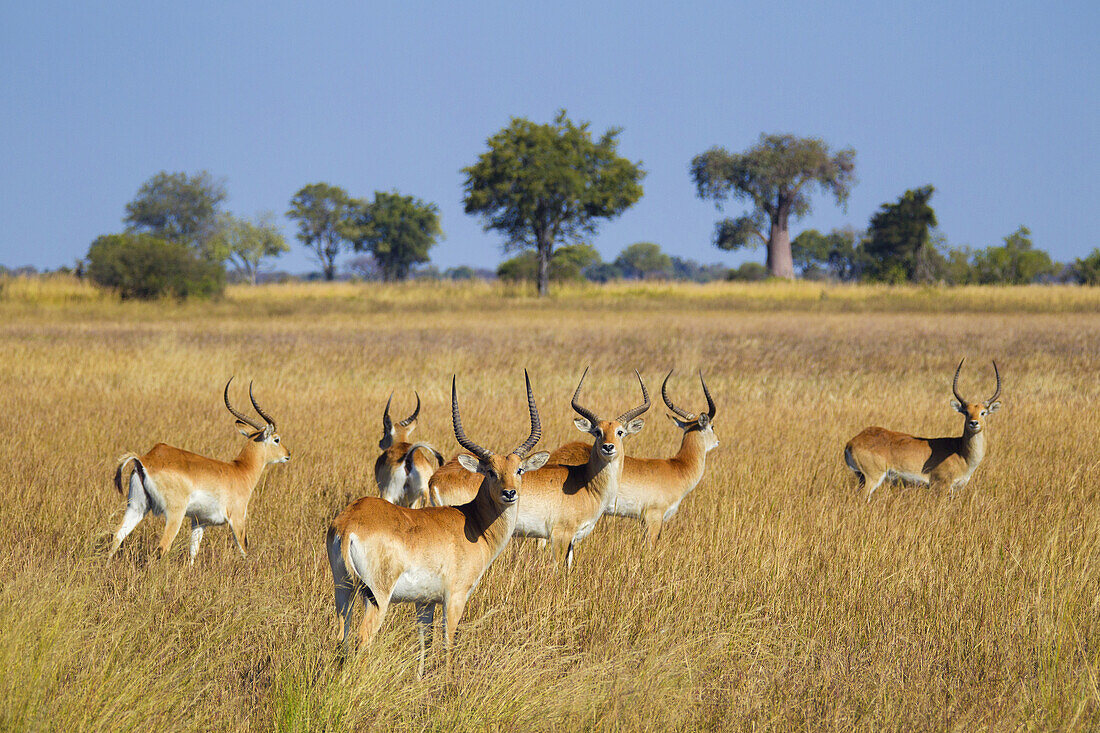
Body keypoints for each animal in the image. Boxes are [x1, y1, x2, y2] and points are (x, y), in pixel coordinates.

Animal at [103, 378, 288, 561]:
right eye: (276, 439)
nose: (288, 454)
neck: (240, 470)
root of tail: (145, 459)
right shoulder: (237, 518)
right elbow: (244, 550)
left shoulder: (199, 521)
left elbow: (193, 552)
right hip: (174, 513)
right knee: (162, 547)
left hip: (137, 506)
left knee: (118, 535)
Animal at [325, 372, 550, 673]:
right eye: (491, 471)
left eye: (519, 469)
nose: (510, 493)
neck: (472, 523)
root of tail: (349, 523)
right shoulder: (454, 598)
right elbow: (447, 644)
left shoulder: (424, 602)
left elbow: (425, 644)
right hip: (377, 597)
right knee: (362, 641)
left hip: (343, 590)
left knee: (341, 638)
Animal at [431, 367, 651, 567]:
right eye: (597, 431)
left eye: (620, 432)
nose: (608, 447)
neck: (585, 483)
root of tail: (436, 479)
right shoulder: (560, 536)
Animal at [840, 358, 1007, 499]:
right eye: (966, 412)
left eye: (983, 412)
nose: (974, 423)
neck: (960, 452)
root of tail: (852, 442)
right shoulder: (940, 486)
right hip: (872, 478)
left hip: (861, 478)